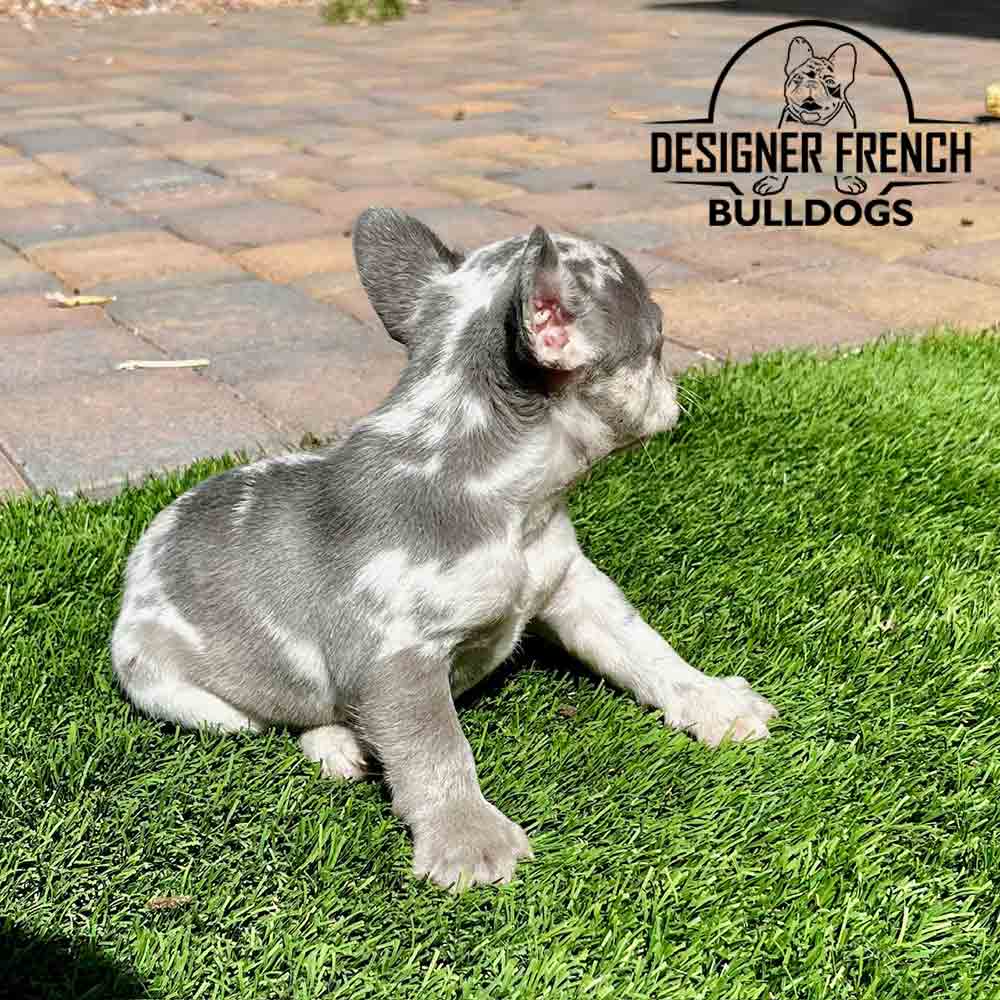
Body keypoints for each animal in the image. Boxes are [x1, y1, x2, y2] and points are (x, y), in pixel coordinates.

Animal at [111, 208, 776, 890]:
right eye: (661, 338)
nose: (674, 387)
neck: (511, 504)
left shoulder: (573, 586)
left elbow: (642, 647)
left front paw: (709, 700)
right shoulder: (400, 656)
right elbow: (437, 750)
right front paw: (467, 836)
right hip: (175, 689)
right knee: (276, 720)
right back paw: (338, 741)